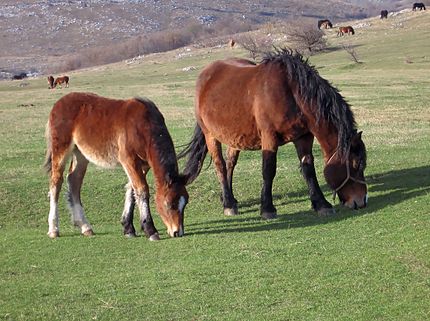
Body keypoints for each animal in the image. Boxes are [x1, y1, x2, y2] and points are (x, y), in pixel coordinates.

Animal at [44, 91, 190, 239]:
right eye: (170, 204)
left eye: (185, 202)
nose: (177, 232)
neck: (142, 126)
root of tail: (58, 104)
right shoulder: (129, 160)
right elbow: (142, 190)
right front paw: (150, 230)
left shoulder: (144, 164)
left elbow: (132, 190)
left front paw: (128, 228)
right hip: (61, 149)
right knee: (56, 182)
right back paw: (54, 229)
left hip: (81, 154)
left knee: (74, 181)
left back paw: (85, 227)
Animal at [178, 48, 366, 219]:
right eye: (357, 165)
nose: (362, 201)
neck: (292, 93)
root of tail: (206, 74)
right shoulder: (269, 137)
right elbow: (268, 170)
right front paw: (267, 208)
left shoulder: (303, 137)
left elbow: (308, 169)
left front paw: (321, 204)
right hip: (211, 136)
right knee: (220, 166)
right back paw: (229, 204)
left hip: (235, 137)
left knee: (230, 163)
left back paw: (229, 198)